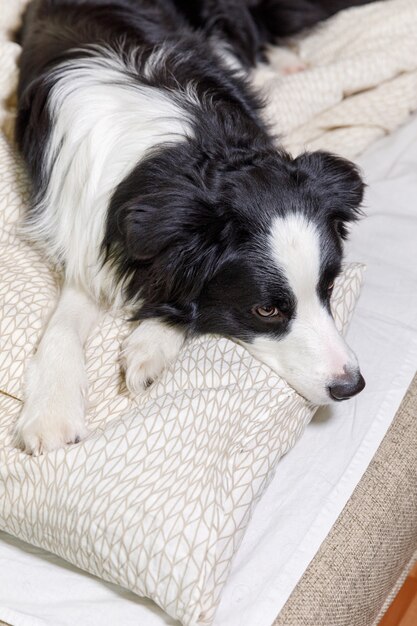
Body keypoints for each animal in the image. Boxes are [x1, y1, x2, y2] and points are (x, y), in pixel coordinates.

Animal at [13, 0, 368, 450]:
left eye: (330, 288)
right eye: (267, 310)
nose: (351, 386)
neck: (176, 156)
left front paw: (149, 346)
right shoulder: (83, 231)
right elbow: (63, 323)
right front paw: (51, 414)